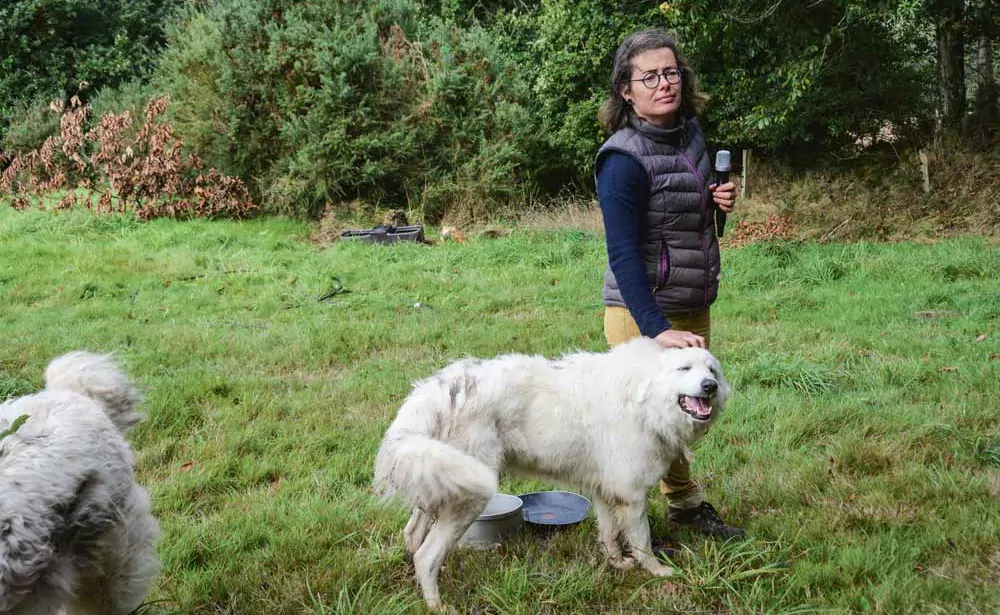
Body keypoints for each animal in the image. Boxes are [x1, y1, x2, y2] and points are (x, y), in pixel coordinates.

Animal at [372, 340, 732, 612]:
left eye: (711, 370)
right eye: (684, 369)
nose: (710, 387)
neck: (644, 398)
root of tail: (439, 389)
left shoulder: (604, 489)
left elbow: (609, 533)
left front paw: (617, 563)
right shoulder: (632, 495)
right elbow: (641, 540)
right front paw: (656, 571)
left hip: (438, 479)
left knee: (413, 536)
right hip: (469, 493)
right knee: (426, 554)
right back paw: (438, 605)